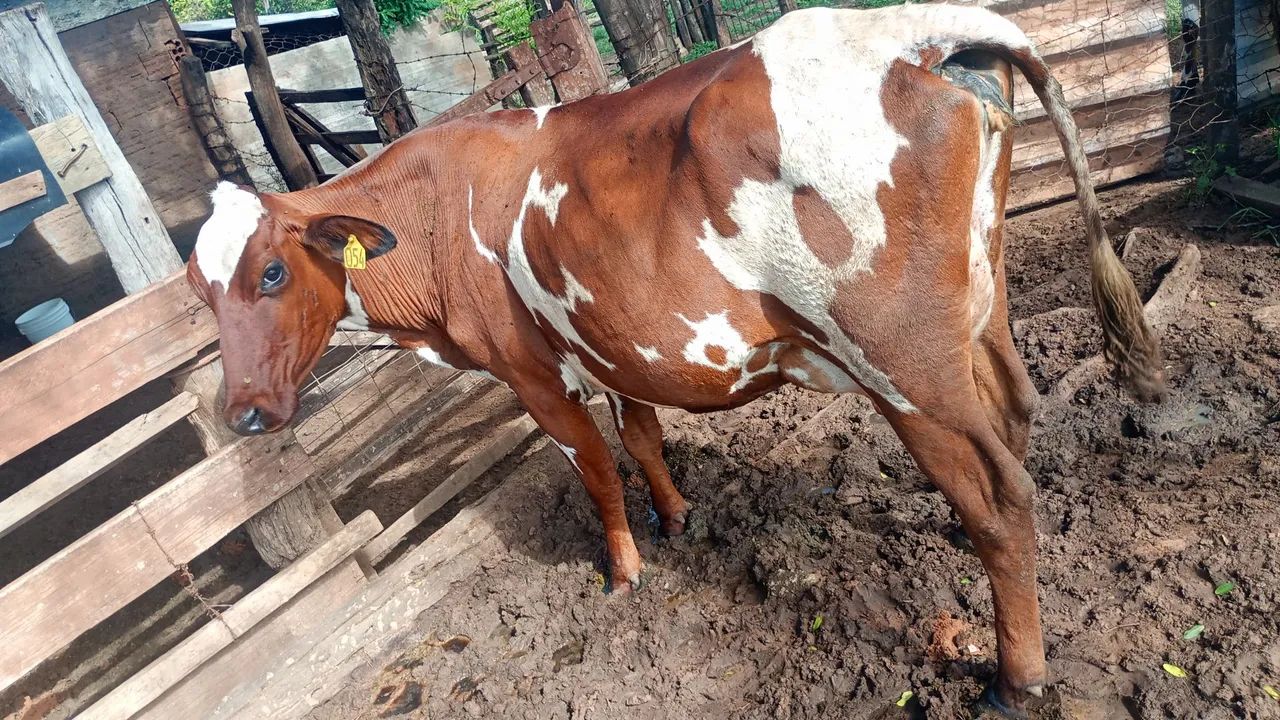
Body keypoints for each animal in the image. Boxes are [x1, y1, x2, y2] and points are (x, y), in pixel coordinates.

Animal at [187, 5, 1163, 715]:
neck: (433, 212)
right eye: (201, 291)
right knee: (1018, 415)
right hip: (981, 308)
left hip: (901, 360)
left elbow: (595, 470)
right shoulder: (612, 345)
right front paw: (678, 515)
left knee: (997, 493)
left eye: (272, 270)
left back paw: (1014, 679)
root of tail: (905, 30)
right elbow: (644, 437)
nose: (244, 411)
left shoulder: (531, 372)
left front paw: (623, 571)